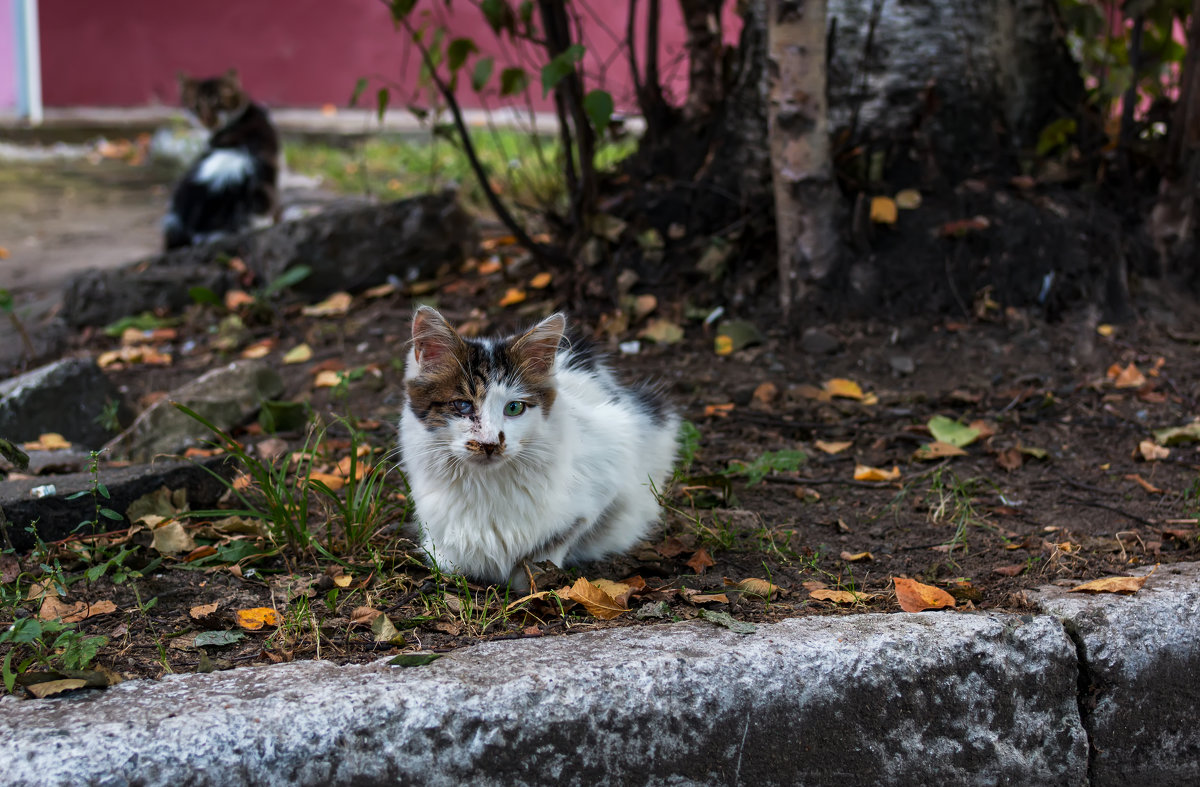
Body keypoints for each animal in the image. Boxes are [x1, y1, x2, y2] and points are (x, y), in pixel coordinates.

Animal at [400, 305, 676, 583]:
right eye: (463, 405)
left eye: (514, 408)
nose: (490, 443)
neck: (485, 486)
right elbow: (449, 561)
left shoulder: (612, 468)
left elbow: (556, 540)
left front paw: (534, 576)